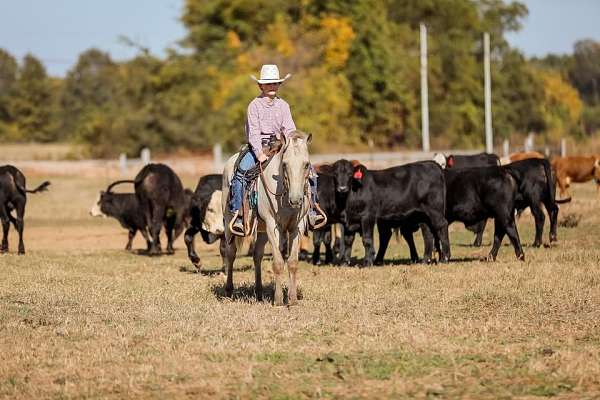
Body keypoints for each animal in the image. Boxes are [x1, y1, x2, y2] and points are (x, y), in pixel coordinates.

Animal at [221, 130, 314, 304]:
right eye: (284, 164)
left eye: (306, 164)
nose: (296, 200)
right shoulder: (273, 225)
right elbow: (278, 262)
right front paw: (278, 300)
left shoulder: (297, 226)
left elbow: (292, 262)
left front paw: (292, 299)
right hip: (229, 223)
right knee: (231, 253)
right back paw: (229, 290)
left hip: (262, 230)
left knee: (257, 255)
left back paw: (258, 291)